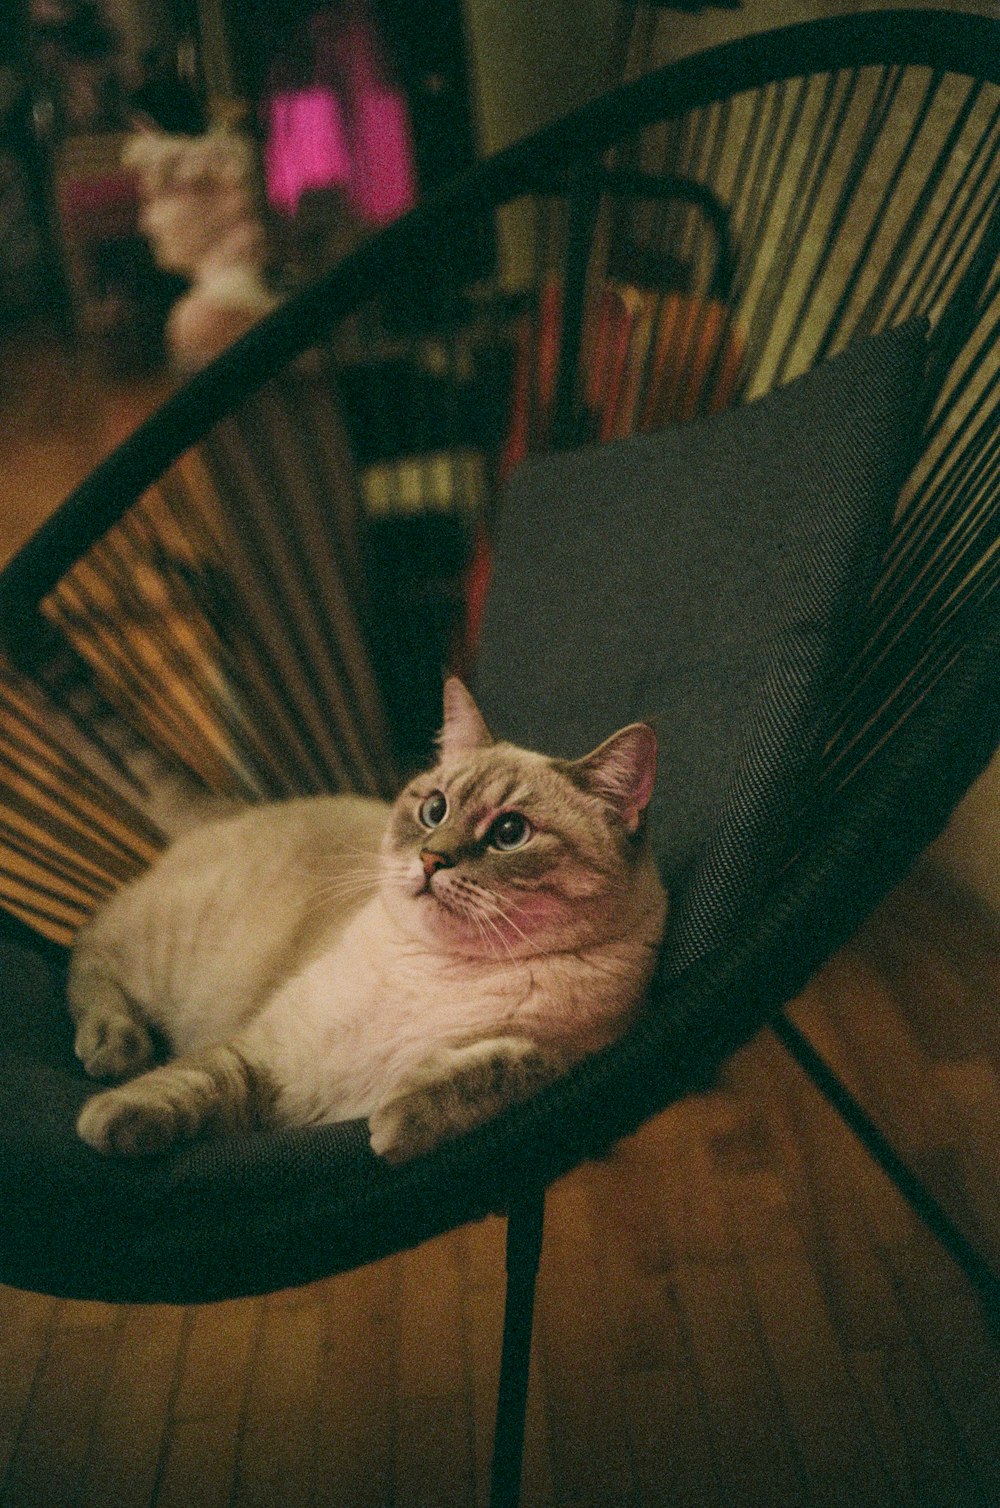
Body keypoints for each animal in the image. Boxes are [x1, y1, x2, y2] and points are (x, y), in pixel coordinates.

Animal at [68, 684, 663, 1164]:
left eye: (510, 833)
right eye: (435, 810)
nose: (431, 859)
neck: (441, 970)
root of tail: (236, 809)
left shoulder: (576, 1054)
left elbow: (496, 1069)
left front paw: (397, 1122)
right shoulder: (269, 1055)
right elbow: (195, 1081)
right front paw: (110, 1119)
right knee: (89, 950)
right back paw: (114, 1045)